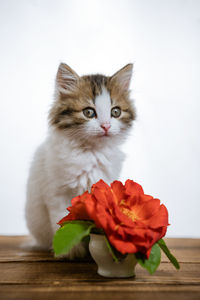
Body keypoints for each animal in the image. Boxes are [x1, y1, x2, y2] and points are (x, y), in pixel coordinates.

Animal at [24, 62, 134, 258]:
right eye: (89, 112)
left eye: (115, 112)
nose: (106, 126)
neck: (91, 152)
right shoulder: (58, 192)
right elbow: (62, 221)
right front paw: (71, 251)